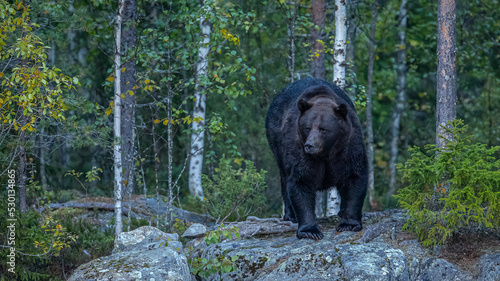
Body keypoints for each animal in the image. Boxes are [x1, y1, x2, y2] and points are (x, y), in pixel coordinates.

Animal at [266, 77, 368, 238]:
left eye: (323, 129)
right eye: (307, 128)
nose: (310, 145)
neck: (326, 153)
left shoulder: (348, 148)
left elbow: (355, 177)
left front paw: (348, 224)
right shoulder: (299, 152)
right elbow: (301, 181)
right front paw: (310, 231)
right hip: (276, 143)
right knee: (284, 177)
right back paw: (290, 215)